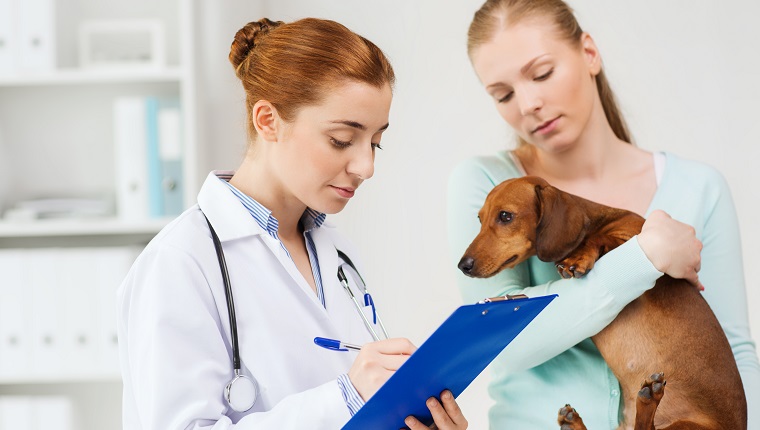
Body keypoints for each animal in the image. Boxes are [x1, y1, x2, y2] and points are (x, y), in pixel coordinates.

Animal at [454, 176, 744, 428]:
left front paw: (579, 258)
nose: (463, 266)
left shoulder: (634, 235)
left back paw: (649, 398)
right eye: (479, 219)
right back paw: (577, 421)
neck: (594, 221)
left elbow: (601, 238)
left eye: (505, 216)